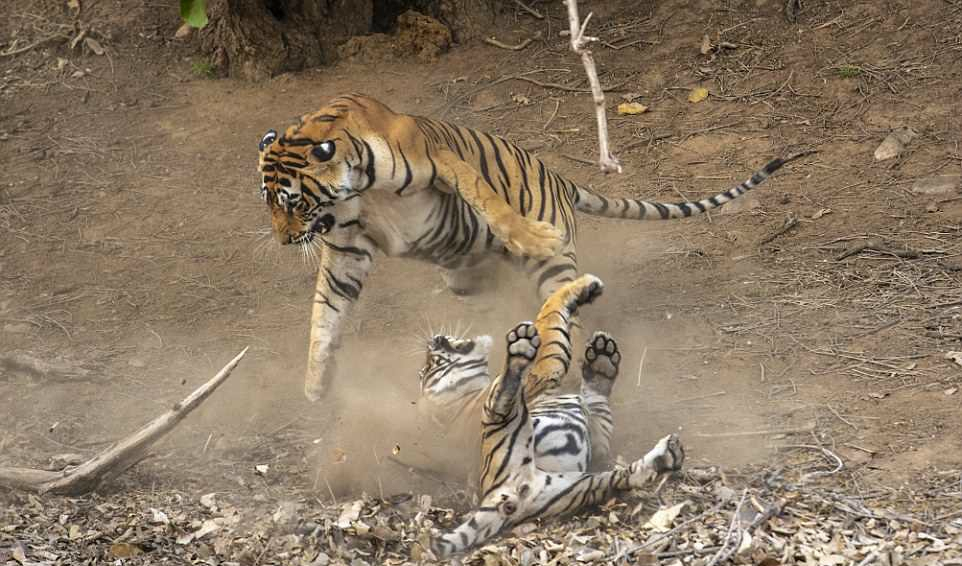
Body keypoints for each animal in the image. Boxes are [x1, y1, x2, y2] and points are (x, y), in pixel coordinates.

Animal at [256, 94, 808, 404]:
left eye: (292, 202)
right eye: (268, 202)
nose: (283, 240)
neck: (353, 190)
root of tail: (564, 180)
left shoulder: (440, 159)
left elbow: (486, 197)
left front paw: (526, 231)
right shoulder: (347, 246)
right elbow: (325, 316)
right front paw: (315, 385)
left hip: (552, 268)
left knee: (565, 312)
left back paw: (546, 357)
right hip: (465, 276)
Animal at [412, 276, 684, 560]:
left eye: (429, 365)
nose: (435, 340)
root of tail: (499, 496)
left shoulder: (595, 437)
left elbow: (597, 403)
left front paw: (602, 360)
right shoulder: (544, 369)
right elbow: (550, 316)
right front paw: (584, 287)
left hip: (580, 484)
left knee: (628, 476)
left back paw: (666, 456)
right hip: (506, 421)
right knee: (503, 392)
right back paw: (519, 347)